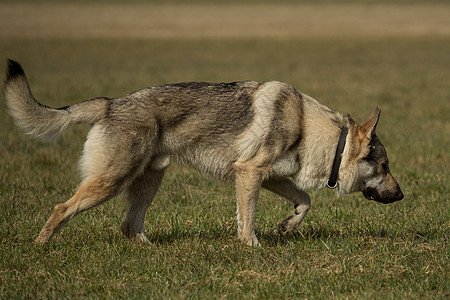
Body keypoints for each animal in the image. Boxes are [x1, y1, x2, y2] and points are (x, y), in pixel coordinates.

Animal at [3, 59, 404, 246]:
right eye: (384, 166)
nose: (402, 195)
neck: (309, 127)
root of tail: (111, 103)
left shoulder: (269, 177)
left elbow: (305, 201)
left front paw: (286, 227)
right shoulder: (249, 173)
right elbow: (248, 219)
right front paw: (253, 246)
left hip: (148, 182)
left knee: (129, 225)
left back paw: (151, 249)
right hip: (111, 182)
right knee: (62, 208)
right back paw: (40, 246)